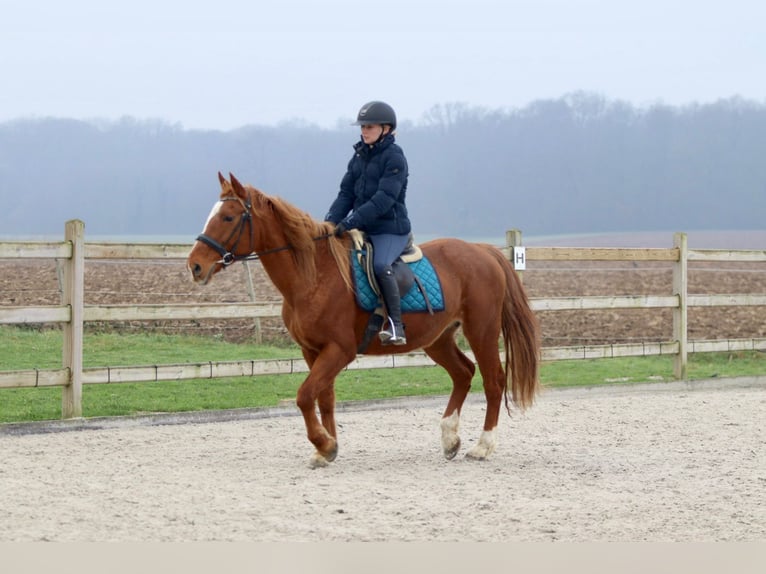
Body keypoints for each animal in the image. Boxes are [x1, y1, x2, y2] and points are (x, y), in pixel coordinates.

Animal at [187, 173, 541, 468]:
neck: (314, 275)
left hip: (481, 331)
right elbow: (324, 398)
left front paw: (324, 444)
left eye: (228, 217)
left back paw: (482, 446)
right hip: (437, 339)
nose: (195, 266)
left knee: (493, 380)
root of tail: (484, 251)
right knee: (463, 373)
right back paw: (450, 438)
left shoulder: (339, 350)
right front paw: (327, 449)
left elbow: (304, 396)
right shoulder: (312, 351)